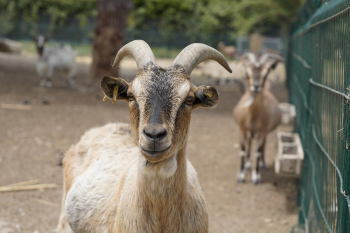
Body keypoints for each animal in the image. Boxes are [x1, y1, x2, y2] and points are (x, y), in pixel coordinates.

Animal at [232, 52, 284, 185]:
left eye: (266, 73)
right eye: (247, 73)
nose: (255, 87)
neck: (252, 117)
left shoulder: (261, 133)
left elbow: (257, 152)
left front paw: (256, 176)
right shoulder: (241, 131)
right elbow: (243, 151)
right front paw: (241, 175)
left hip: (264, 133)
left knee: (263, 146)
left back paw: (263, 163)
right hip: (249, 134)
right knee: (250, 143)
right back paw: (247, 163)